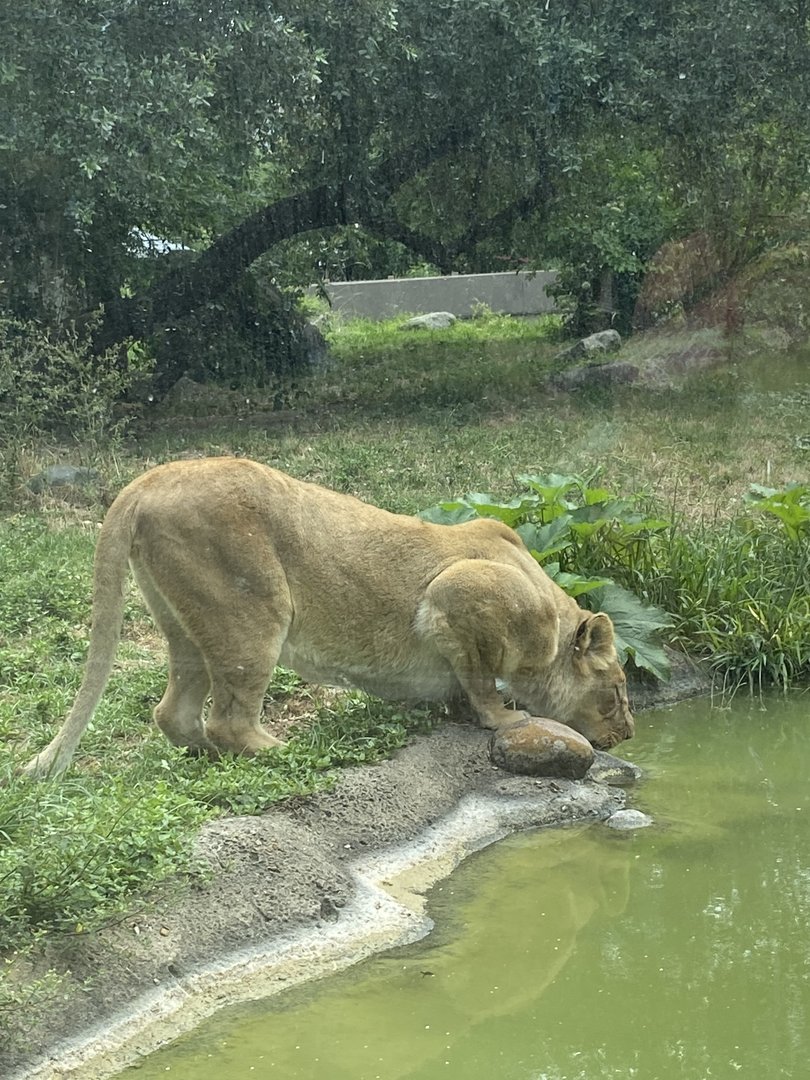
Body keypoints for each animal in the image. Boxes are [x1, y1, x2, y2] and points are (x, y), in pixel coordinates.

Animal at [20, 458, 634, 779]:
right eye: (617, 691)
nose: (628, 734)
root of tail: (146, 480)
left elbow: (463, 683)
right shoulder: (458, 590)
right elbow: (481, 679)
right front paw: (503, 717)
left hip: (185, 626)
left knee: (174, 711)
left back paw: (207, 756)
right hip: (252, 614)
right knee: (229, 719)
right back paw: (287, 752)